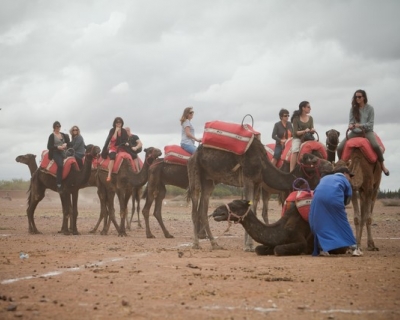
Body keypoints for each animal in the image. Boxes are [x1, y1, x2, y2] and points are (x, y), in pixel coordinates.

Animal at [188, 139, 334, 251]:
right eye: (313, 160)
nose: (330, 165)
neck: (263, 165)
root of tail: (193, 155)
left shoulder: (258, 182)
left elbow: (252, 208)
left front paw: (250, 245)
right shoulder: (248, 179)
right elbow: (249, 205)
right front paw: (248, 246)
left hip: (209, 180)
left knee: (203, 210)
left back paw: (215, 244)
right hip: (195, 170)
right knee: (195, 208)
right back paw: (196, 244)